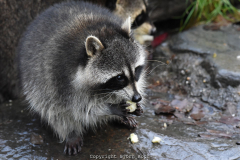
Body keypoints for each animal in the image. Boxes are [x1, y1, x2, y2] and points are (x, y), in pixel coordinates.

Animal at [17, 0, 146, 156]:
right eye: (120, 77)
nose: (137, 98)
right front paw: (110, 108)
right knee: (54, 110)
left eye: (136, 70)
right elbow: (80, 108)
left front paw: (129, 106)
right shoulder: (61, 77)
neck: (100, 30)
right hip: (37, 82)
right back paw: (71, 132)